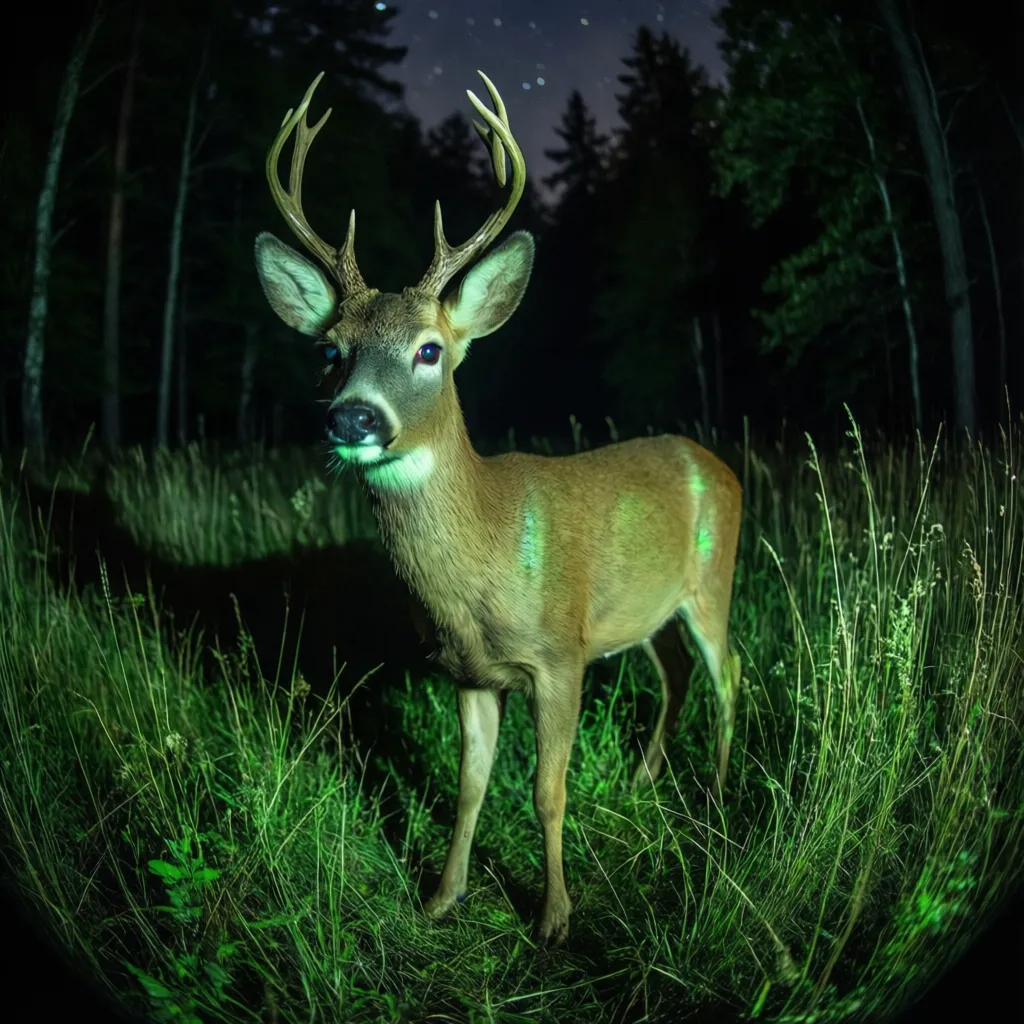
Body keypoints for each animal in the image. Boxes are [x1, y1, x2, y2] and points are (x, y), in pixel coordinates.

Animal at [254, 71, 743, 947]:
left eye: (429, 349)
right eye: (329, 350)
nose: (353, 417)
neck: (481, 570)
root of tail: (718, 464)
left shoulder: (559, 655)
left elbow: (548, 791)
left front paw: (554, 917)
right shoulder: (468, 673)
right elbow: (469, 787)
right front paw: (440, 898)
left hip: (713, 578)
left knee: (732, 673)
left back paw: (716, 798)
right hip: (646, 611)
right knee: (679, 671)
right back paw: (649, 778)